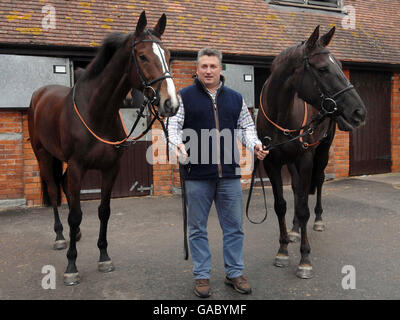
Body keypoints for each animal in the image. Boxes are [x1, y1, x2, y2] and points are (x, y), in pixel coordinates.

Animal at [27, 11, 179, 284]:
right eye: (143, 56)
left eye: (169, 55)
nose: (170, 103)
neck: (95, 112)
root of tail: (40, 94)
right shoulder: (78, 167)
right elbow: (76, 214)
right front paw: (71, 266)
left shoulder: (110, 169)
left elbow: (104, 211)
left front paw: (104, 257)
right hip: (43, 155)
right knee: (55, 190)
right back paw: (60, 236)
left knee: (63, 185)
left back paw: (74, 234)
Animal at [258, 26, 368, 278]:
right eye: (323, 69)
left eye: (340, 65)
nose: (359, 112)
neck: (281, 113)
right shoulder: (272, 163)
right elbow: (281, 205)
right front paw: (283, 250)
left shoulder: (306, 158)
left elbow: (303, 207)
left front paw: (305, 258)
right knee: (298, 189)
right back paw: (295, 229)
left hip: (322, 152)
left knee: (317, 182)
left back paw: (317, 220)